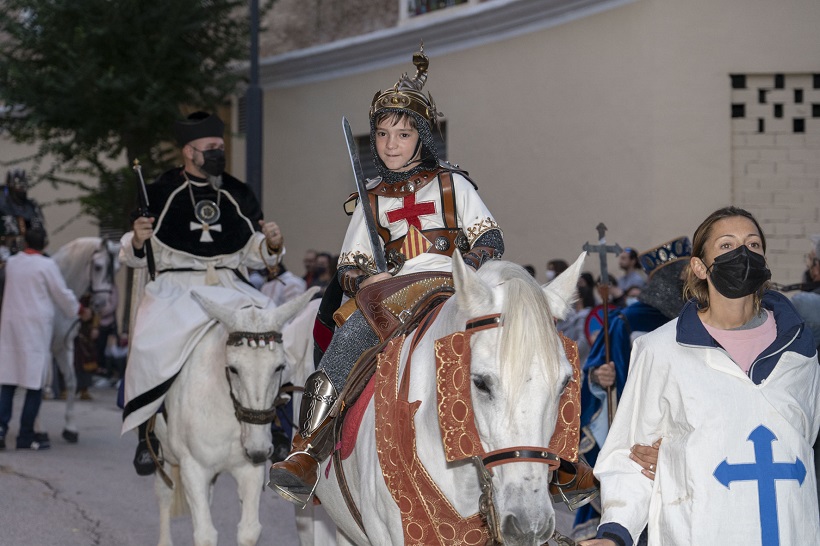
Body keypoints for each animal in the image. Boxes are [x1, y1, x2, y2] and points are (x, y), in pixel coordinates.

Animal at [49, 236, 118, 440]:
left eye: (115, 269)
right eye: (98, 267)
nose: (102, 304)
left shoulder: (63, 345)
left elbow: (72, 381)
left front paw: (70, 428)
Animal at [152, 284, 318, 544]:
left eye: (279, 367)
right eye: (233, 369)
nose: (258, 451)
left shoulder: (249, 470)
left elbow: (248, 531)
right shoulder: (193, 468)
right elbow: (205, 534)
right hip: (164, 456)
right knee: (165, 495)